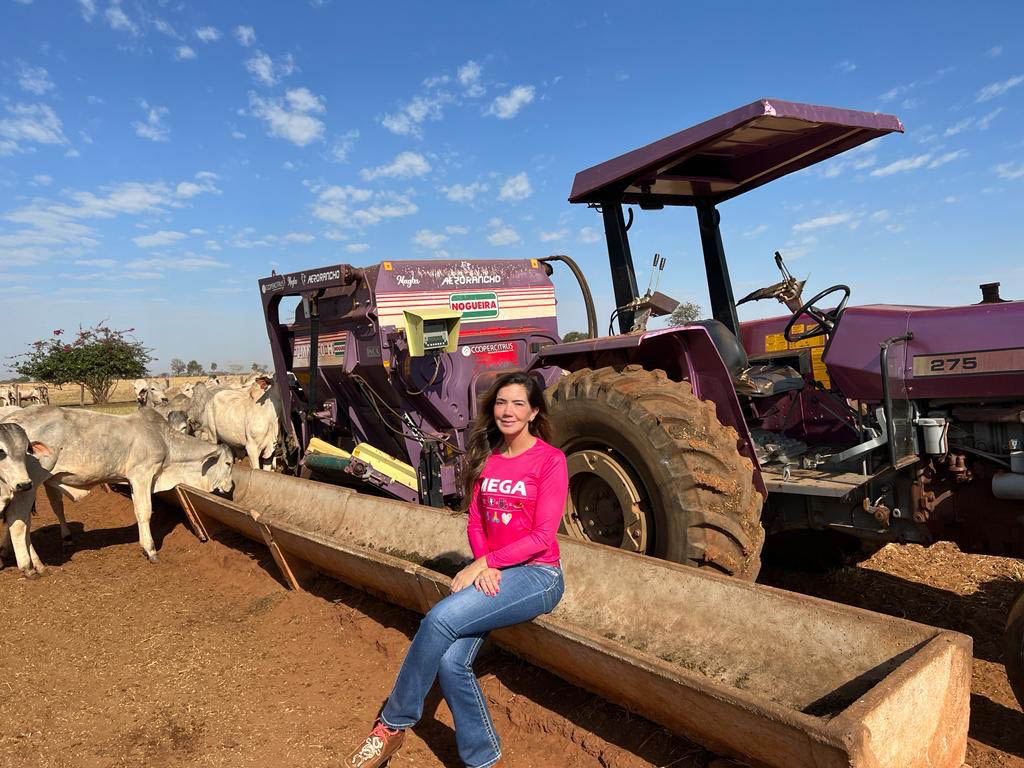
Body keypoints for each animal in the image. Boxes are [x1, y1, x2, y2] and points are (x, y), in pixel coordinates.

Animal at [1, 405, 233, 573]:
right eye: (229, 463)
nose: (230, 486)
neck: (164, 440)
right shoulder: (142, 475)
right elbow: (144, 512)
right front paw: (150, 550)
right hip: (26, 485)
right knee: (17, 521)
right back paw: (29, 567)